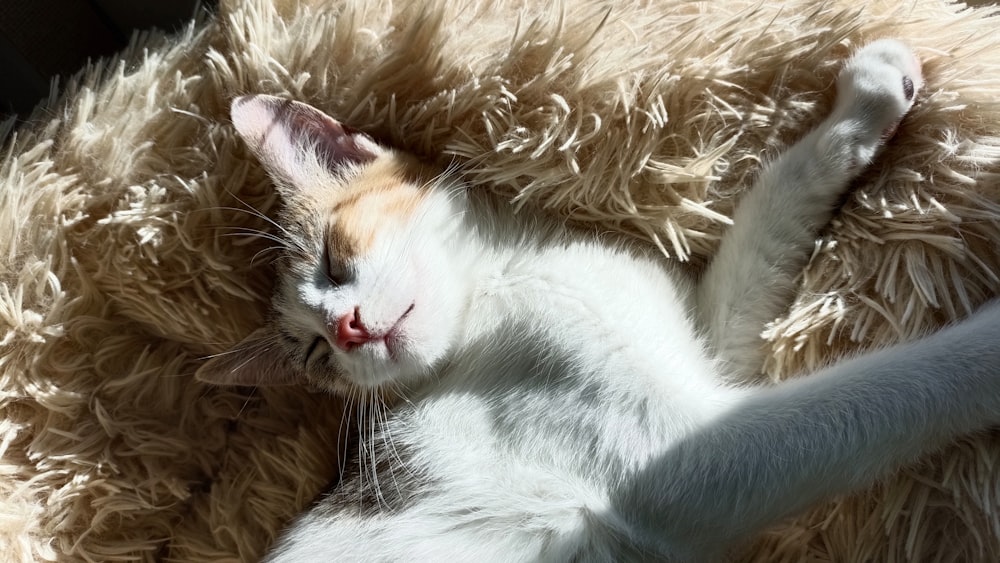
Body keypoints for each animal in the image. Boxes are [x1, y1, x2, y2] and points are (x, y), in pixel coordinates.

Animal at [195, 40, 1000, 563]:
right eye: (314, 355)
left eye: (334, 257)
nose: (347, 328)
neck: (508, 281)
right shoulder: (687, 456)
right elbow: (882, 394)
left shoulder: (712, 343)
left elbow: (768, 216)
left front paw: (859, 107)